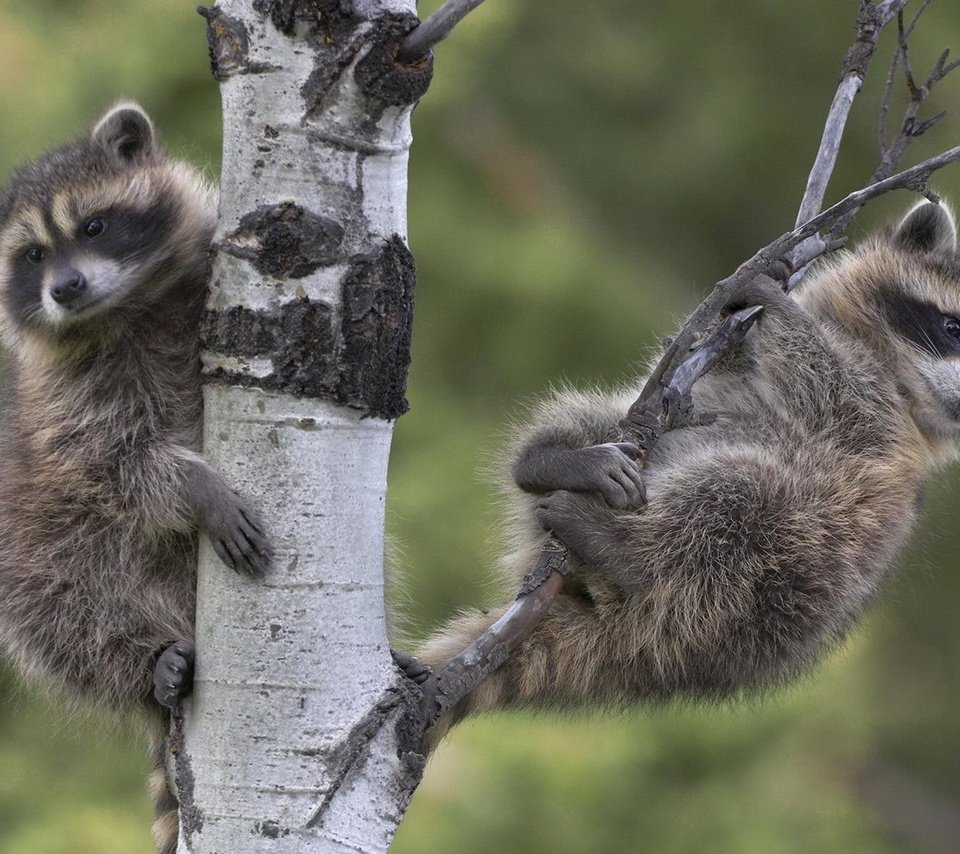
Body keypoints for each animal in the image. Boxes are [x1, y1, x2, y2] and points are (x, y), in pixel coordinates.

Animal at [0, 105, 274, 854]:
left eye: (94, 227)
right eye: (31, 257)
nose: (65, 288)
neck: (120, 308)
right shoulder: (63, 400)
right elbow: (113, 462)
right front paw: (195, 490)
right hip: (31, 537)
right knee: (54, 610)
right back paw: (143, 663)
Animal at [410, 201, 960, 748]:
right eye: (954, 328)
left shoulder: (882, 428)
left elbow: (832, 388)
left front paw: (780, 310)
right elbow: (695, 355)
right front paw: (762, 289)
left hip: (783, 586)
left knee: (741, 505)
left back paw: (626, 550)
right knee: (598, 419)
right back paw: (552, 460)